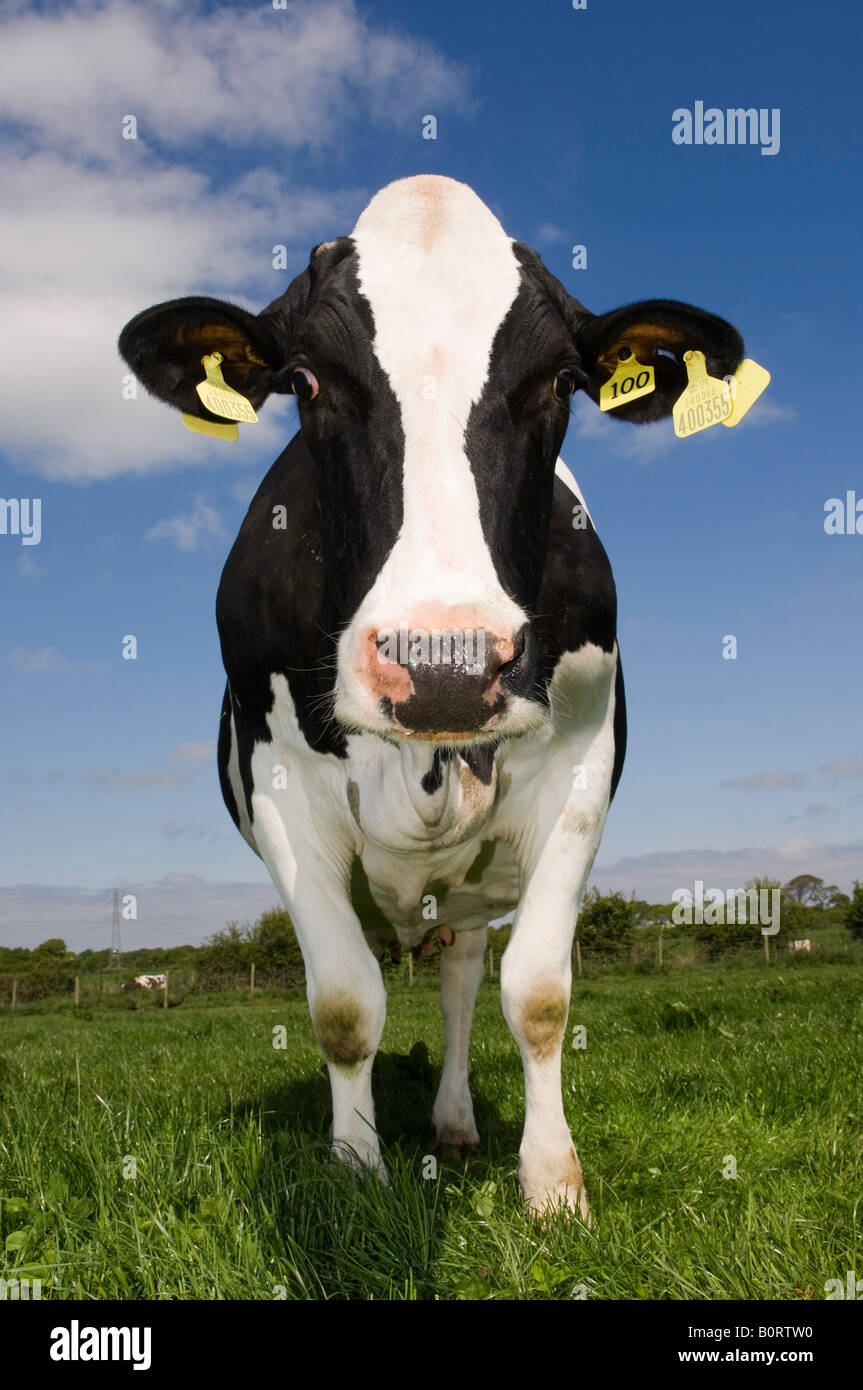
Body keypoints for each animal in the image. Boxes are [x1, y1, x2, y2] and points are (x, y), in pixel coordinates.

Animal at [119, 174, 744, 1217]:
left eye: (558, 384)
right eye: (306, 381)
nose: (445, 664)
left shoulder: (578, 774)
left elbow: (537, 995)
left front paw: (553, 1185)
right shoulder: (278, 787)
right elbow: (342, 1005)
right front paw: (355, 1170)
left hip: (469, 888)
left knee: (458, 977)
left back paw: (453, 1122)